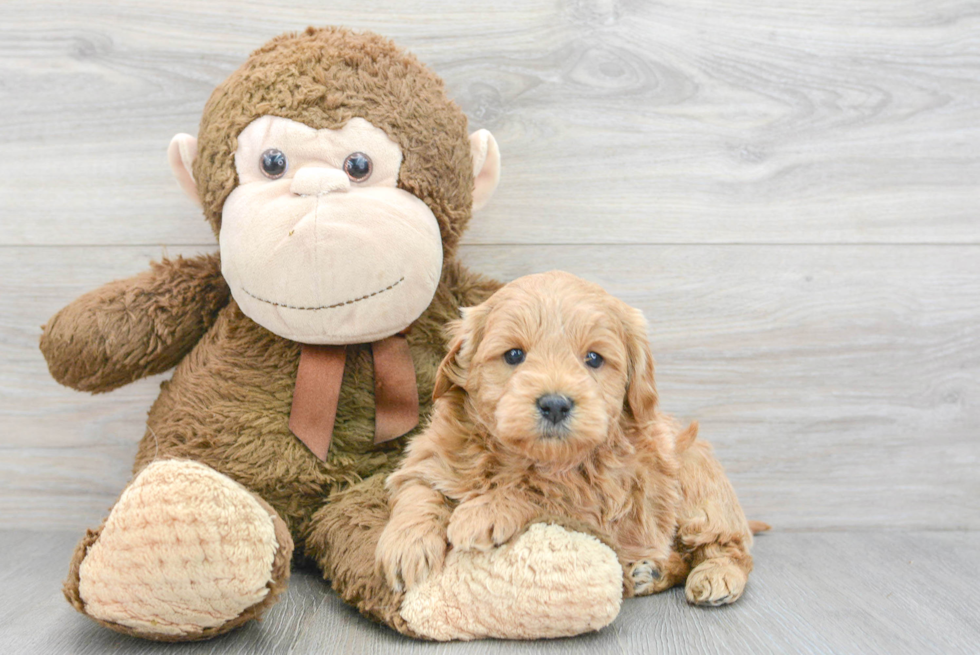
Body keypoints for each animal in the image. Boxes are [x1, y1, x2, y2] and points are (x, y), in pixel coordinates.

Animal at [376, 270, 756, 604]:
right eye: (514, 354)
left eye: (594, 359)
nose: (555, 404)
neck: (526, 457)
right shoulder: (432, 455)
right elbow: (418, 490)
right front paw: (406, 546)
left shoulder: (602, 505)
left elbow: (545, 491)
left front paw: (484, 510)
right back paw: (651, 572)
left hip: (698, 484)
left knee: (729, 547)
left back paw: (716, 575)